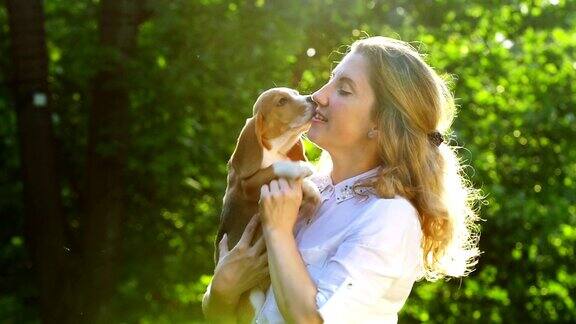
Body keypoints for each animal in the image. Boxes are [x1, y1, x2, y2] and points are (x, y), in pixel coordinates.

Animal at [215, 87, 320, 322]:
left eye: (296, 93)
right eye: (282, 101)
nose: (312, 99)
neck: (274, 150)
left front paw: (311, 189)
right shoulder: (246, 186)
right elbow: (274, 168)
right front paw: (301, 169)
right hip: (253, 299)